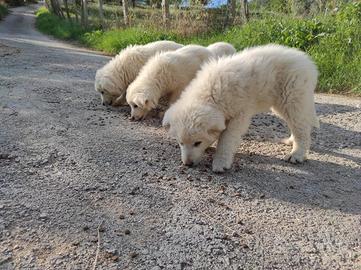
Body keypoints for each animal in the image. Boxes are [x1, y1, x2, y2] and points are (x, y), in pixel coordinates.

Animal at [163, 43, 318, 172]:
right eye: (180, 143)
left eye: (197, 143)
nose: (187, 164)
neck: (210, 93)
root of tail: (307, 61)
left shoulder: (239, 115)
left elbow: (227, 138)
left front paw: (220, 162)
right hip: (282, 104)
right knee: (297, 124)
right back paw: (291, 141)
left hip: (293, 98)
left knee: (301, 128)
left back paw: (296, 154)